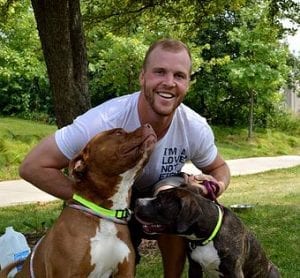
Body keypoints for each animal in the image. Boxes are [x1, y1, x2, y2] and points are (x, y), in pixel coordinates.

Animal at [135, 181, 280, 276]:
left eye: (159, 202)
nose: (137, 201)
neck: (207, 238)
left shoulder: (234, 271)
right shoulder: (194, 268)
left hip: (273, 270)